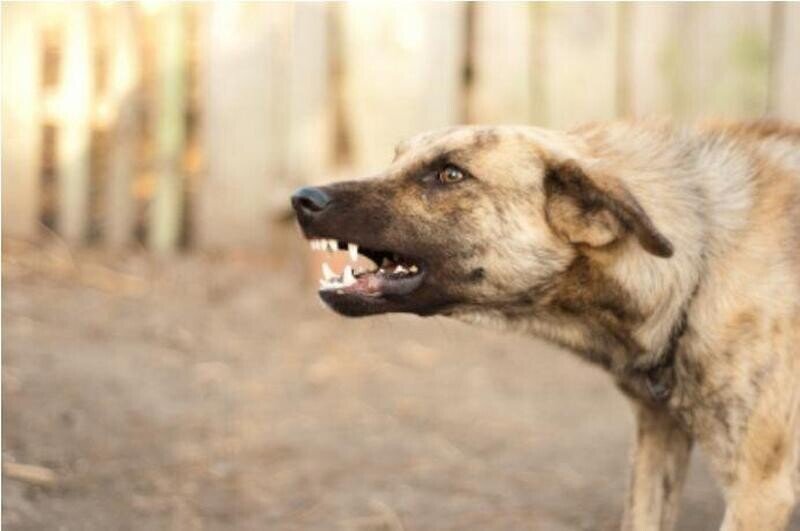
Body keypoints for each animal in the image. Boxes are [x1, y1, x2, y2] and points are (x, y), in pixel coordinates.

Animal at [292, 121, 800, 531]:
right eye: (395, 158)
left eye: (451, 174)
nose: (302, 200)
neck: (701, 261)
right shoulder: (659, 435)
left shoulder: (760, 491)